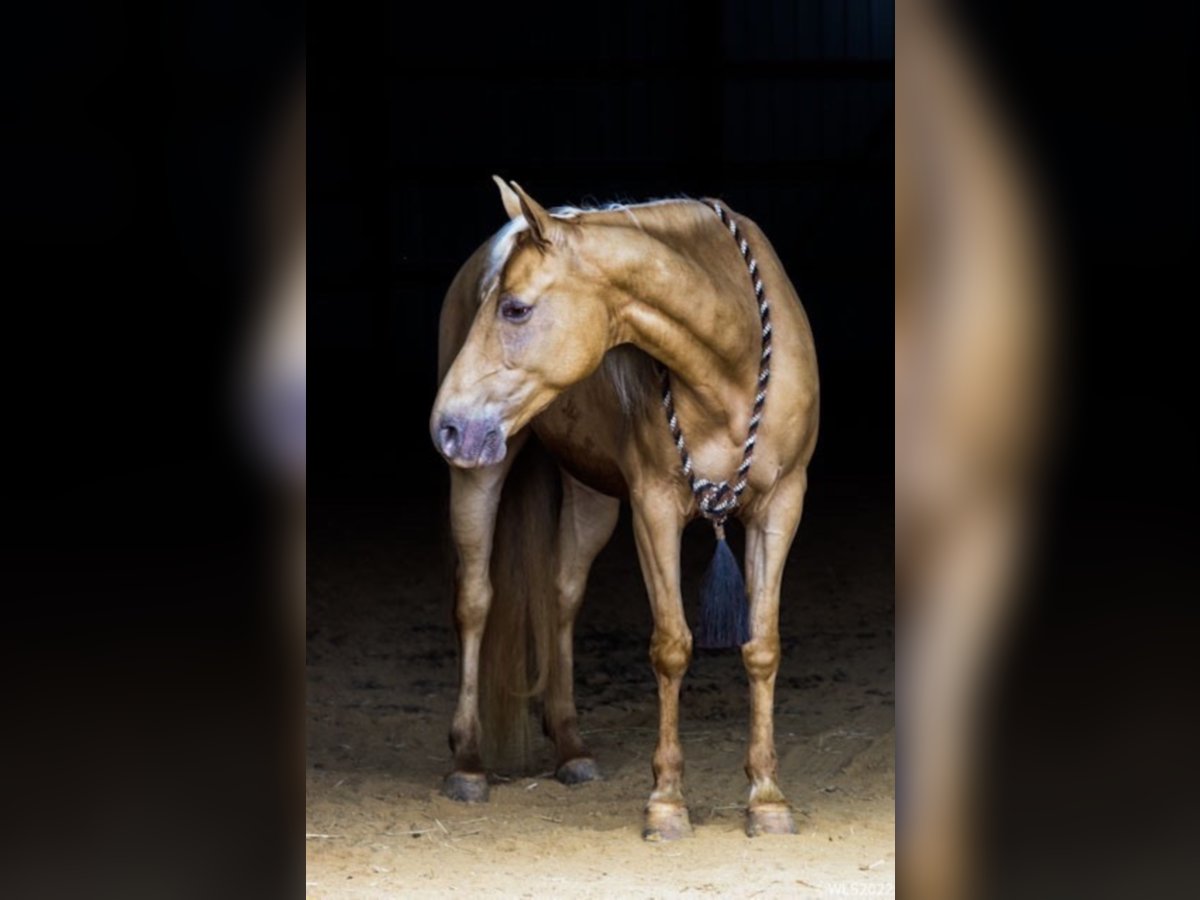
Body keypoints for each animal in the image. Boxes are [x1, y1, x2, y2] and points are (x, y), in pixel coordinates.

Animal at [429, 180, 816, 844]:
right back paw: (469, 763)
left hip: (591, 496)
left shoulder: (781, 506)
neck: (731, 362)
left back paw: (572, 750)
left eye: (515, 309)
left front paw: (767, 799)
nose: (446, 425)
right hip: (479, 472)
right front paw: (666, 803)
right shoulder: (654, 507)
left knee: (562, 596)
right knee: (475, 601)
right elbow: (671, 646)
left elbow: (762, 647)